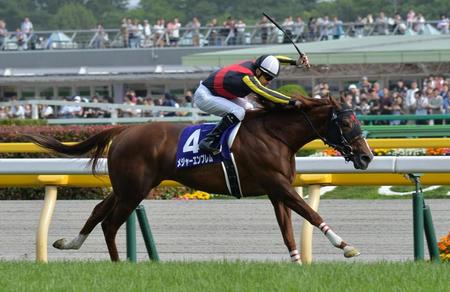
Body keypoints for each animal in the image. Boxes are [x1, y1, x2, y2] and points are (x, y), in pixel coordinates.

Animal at [26, 95, 374, 262]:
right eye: (346, 123)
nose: (367, 157)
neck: (276, 136)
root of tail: (124, 130)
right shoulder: (278, 185)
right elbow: (311, 214)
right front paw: (346, 246)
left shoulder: (277, 191)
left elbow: (288, 230)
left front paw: (298, 263)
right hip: (133, 190)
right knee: (110, 224)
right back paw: (119, 265)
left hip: (129, 187)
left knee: (98, 211)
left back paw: (70, 243)